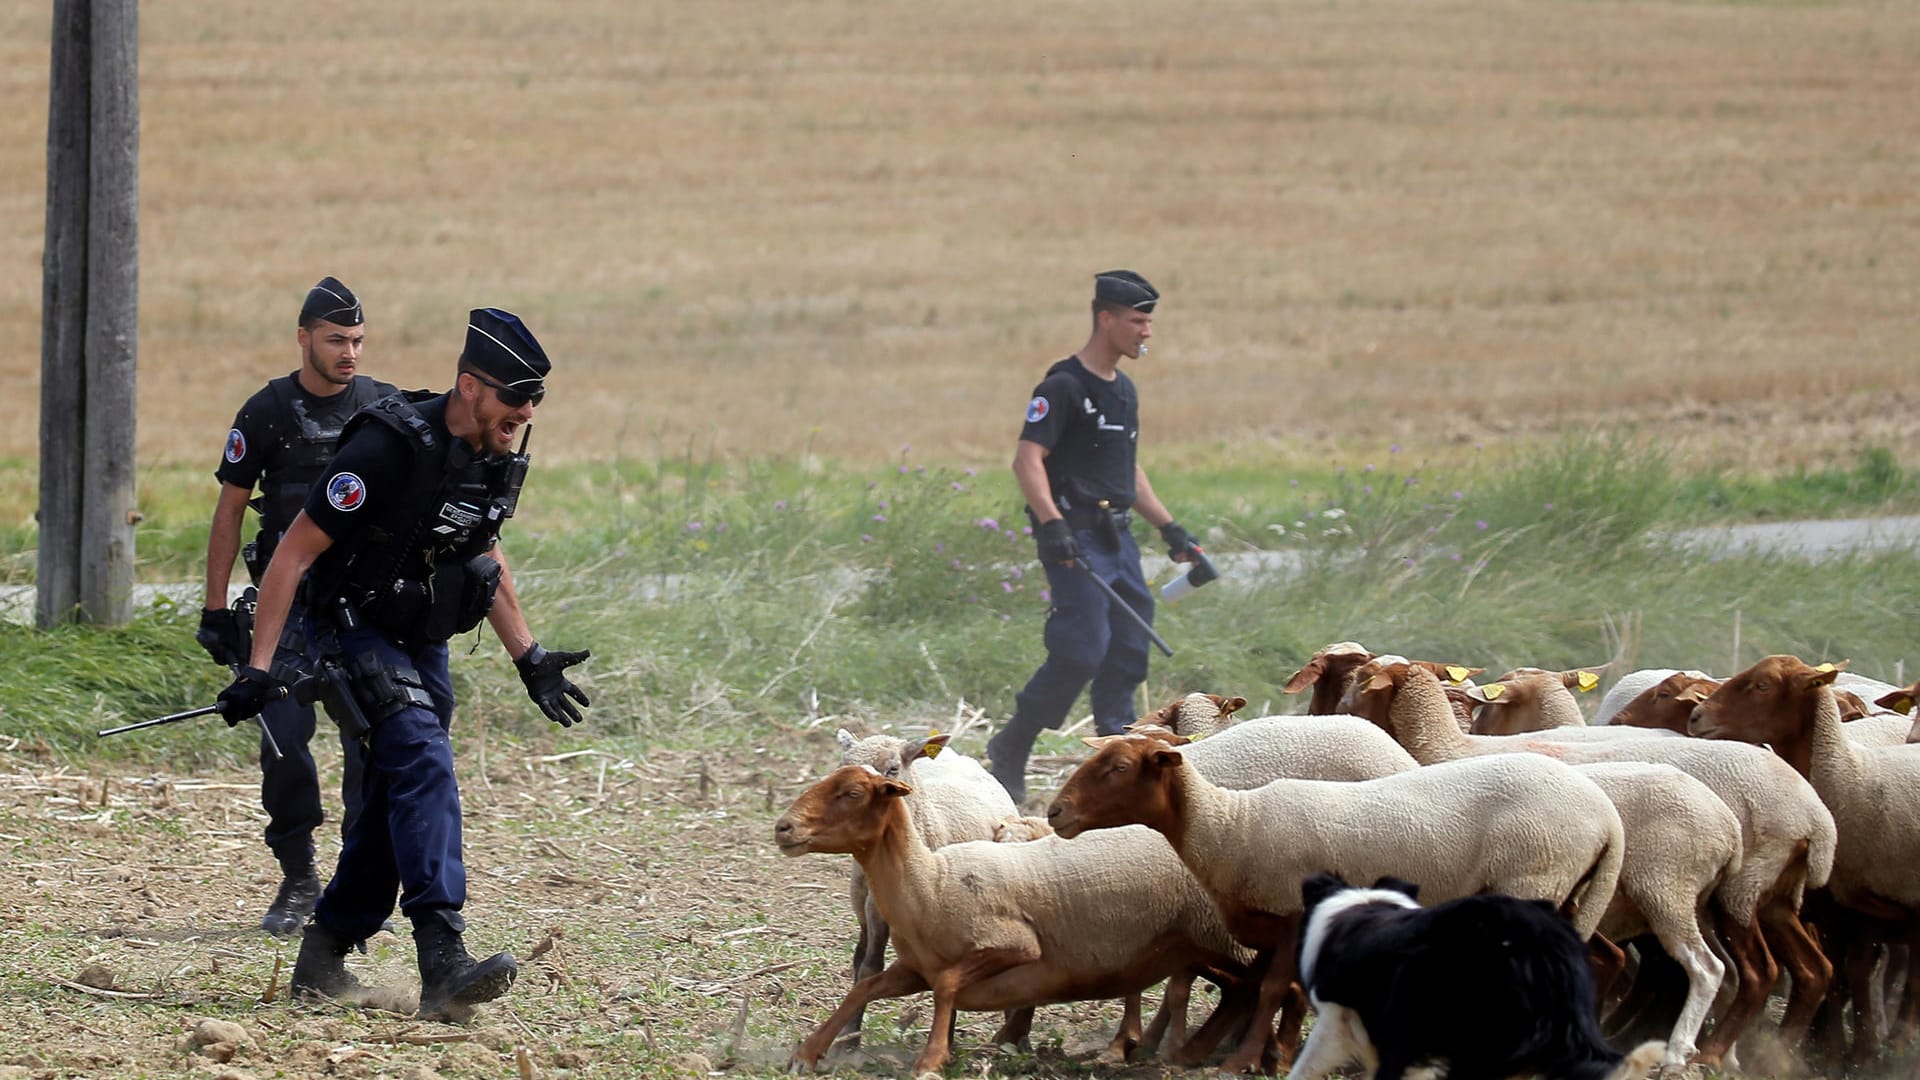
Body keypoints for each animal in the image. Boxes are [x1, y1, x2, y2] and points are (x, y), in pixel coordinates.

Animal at [779, 760, 1259, 1068]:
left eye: (852, 793)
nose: (783, 827)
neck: (930, 882)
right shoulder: (914, 969)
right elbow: (864, 988)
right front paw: (807, 1053)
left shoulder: (1014, 944)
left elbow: (948, 986)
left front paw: (932, 1059)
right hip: (1194, 946)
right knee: (1237, 989)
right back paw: (1196, 1051)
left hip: (1218, 939)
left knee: (1255, 986)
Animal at [1052, 734, 1620, 1068]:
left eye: (1118, 767)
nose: (1056, 811)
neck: (1230, 826)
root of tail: (1606, 816)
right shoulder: (1268, 918)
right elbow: (1260, 986)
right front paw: (1210, 1052)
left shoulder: (1289, 913)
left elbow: (1271, 988)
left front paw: (1242, 1061)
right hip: (1564, 891)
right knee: (1599, 958)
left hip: (1533, 878)